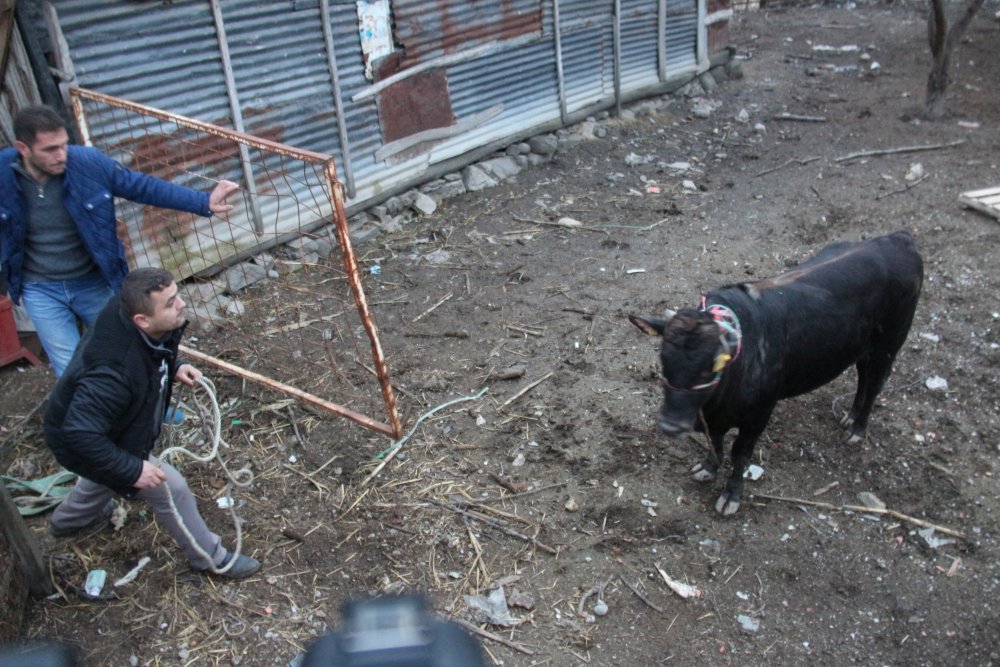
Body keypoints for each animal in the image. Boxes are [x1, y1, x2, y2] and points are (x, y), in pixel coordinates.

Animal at [628, 231, 924, 516]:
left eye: (713, 366)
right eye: (663, 358)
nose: (671, 425)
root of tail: (898, 238)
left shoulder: (760, 414)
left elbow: (740, 454)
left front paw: (731, 495)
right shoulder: (714, 418)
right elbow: (715, 439)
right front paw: (709, 467)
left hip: (889, 344)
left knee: (874, 384)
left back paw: (858, 429)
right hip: (864, 347)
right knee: (864, 378)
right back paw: (850, 417)